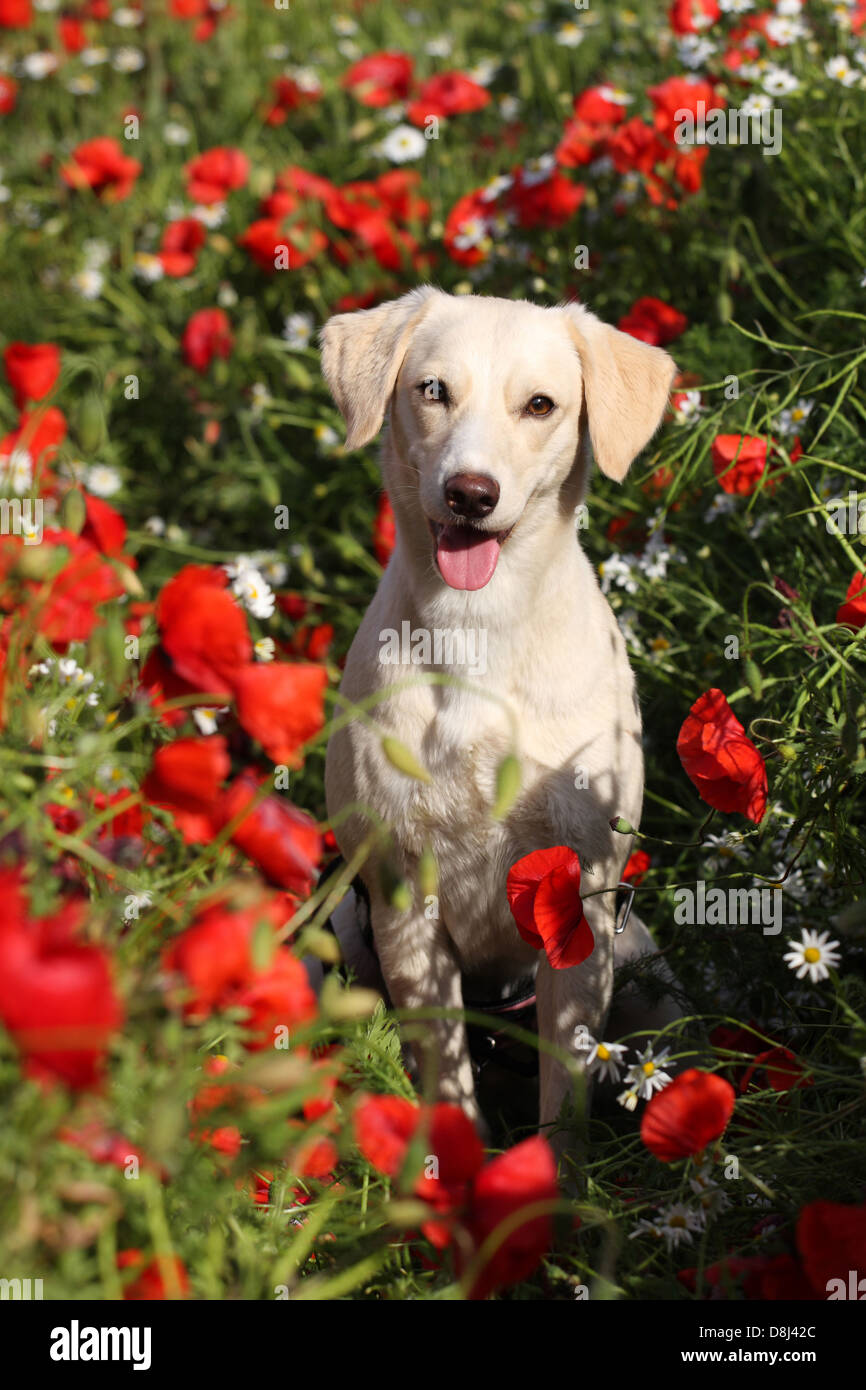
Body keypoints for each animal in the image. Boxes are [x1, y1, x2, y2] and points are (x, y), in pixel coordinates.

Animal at [322, 287, 681, 1134]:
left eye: (540, 405)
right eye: (433, 391)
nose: (470, 492)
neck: (477, 630)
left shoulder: (583, 901)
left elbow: (567, 1097)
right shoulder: (402, 901)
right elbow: (446, 1076)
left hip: (648, 970)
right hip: (348, 936)